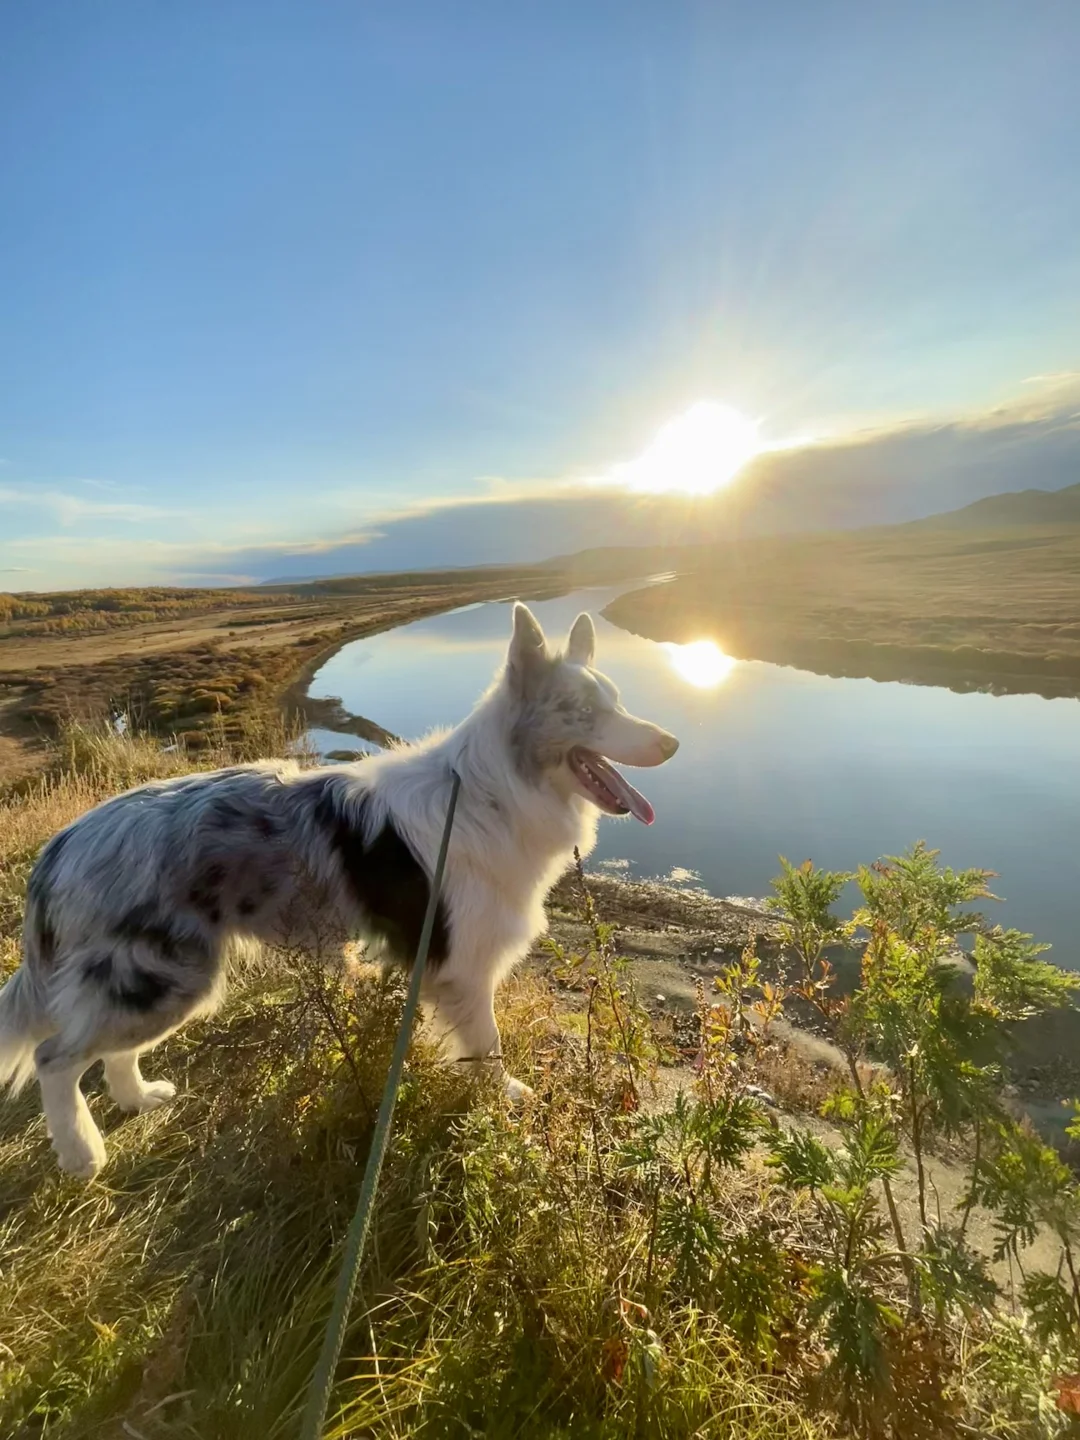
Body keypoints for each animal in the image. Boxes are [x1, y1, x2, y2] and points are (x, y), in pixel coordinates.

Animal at [0, 601, 676, 1175]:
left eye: (618, 701)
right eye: (583, 712)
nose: (671, 741)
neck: (493, 793)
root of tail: (60, 849)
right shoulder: (461, 965)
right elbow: (488, 1046)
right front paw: (504, 1100)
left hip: (158, 979)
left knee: (104, 1052)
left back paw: (137, 1098)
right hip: (164, 977)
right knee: (54, 1058)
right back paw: (83, 1154)